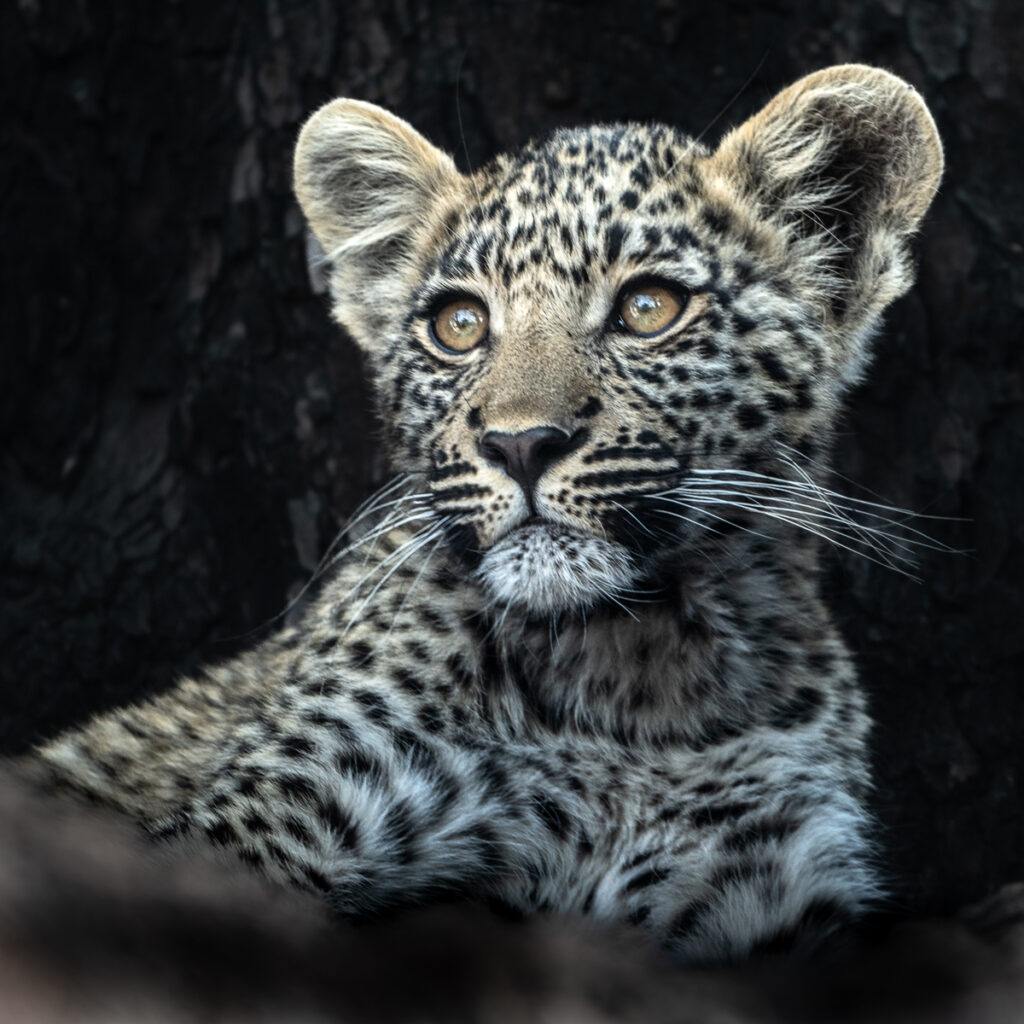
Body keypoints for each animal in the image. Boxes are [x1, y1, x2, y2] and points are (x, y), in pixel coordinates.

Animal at [20, 64, 943, 964]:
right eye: (459, 324)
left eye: (648, 308)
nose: (521, 443)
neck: (635, 684)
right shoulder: (275, 819)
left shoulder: (772, 891)